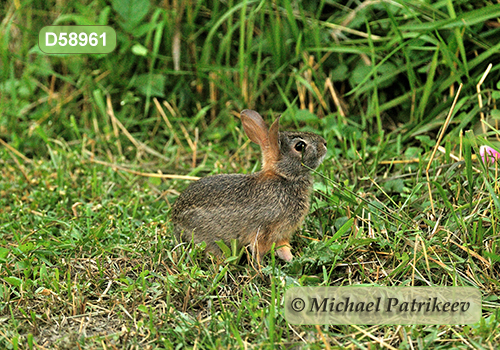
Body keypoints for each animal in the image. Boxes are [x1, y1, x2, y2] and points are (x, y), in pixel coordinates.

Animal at [171, 109, 328, 262]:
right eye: (300, 146)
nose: (324, 143)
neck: (283, 176)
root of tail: (176, 220)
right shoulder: (265, 230)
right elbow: (259, 250)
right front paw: (262, 268)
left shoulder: (281, 235)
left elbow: (283, 250)